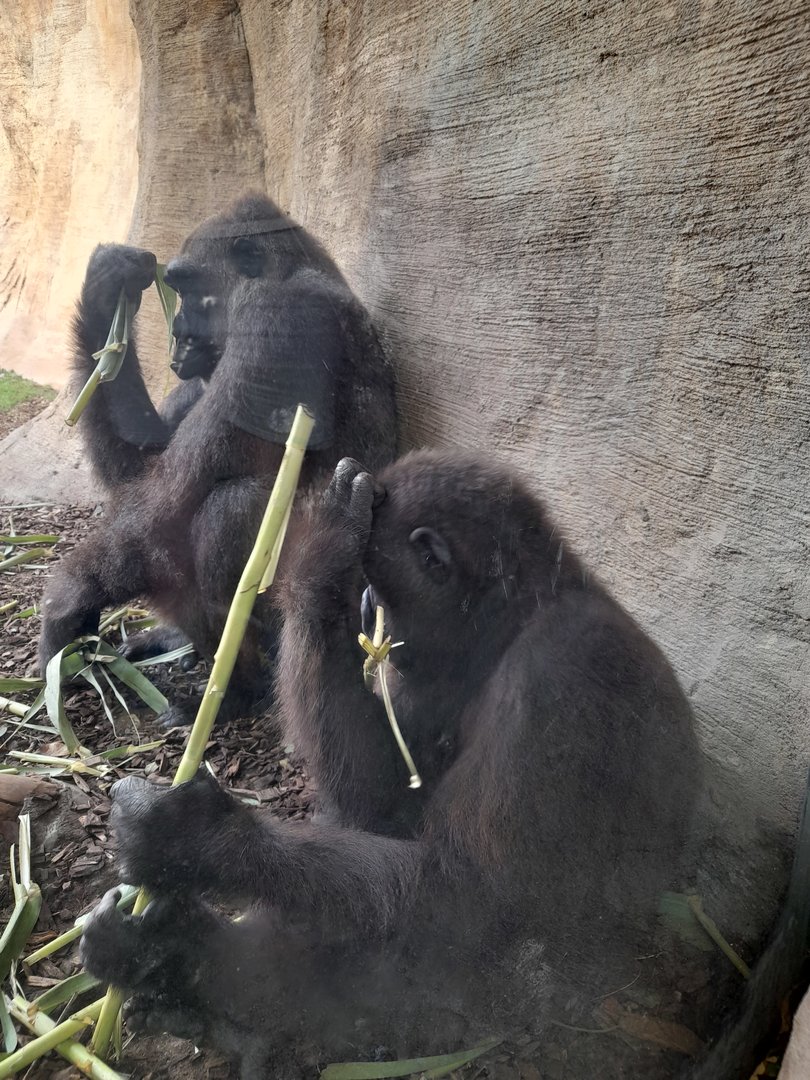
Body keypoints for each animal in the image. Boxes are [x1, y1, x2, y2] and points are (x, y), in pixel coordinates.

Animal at [40, 195, 397, 717]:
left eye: (192, 288)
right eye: (175, 288)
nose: (178, 333)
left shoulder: (276, 318)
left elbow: (168, 506)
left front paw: (68, 601)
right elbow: (143, 464)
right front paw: (107, 290)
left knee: (230, 509)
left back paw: (237, 690)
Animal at [81, 452, 707, 1079]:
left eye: (379, 589)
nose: (362, 607)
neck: (509, 623)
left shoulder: (557, 674)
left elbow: (470, 900)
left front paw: (198, 840)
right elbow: (378, 805)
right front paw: (325, 557)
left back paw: (194, 964)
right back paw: (171, 962)